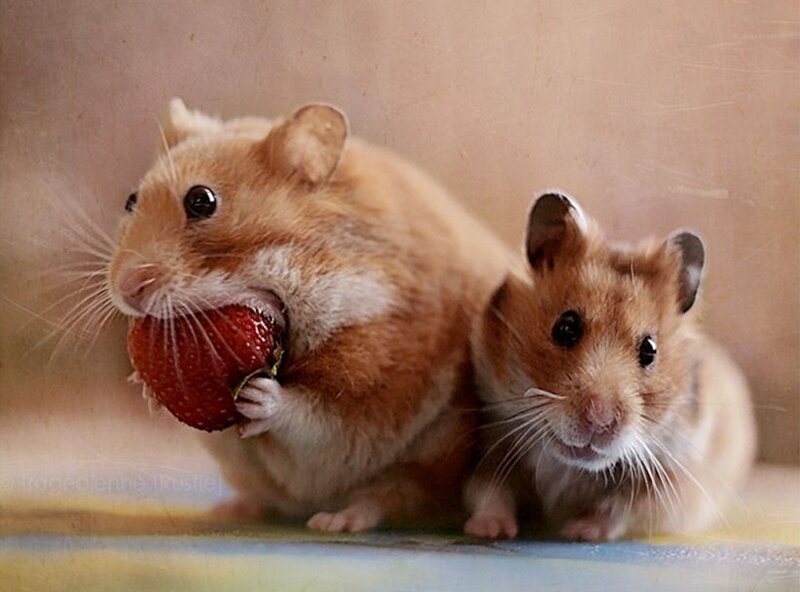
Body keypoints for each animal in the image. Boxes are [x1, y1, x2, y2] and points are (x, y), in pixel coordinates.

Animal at [108, 99, 511, 532]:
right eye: (131, 200)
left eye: (202, 200)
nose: (127, 289)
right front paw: (145, 387)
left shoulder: (371, 383)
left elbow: (314, 418)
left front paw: (257, 396)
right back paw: (231, 510)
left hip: (430, 459)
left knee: (391, 498)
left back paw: (337, 521)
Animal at [464, 191, 756, 541]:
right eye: (565, 327)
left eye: (650, 350)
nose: (599, 420)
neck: (569, 468)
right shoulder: (493, 442)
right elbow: (488, 490)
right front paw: (489, 530)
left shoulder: (672, 480)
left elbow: (620, 510)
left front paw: (577, 531)